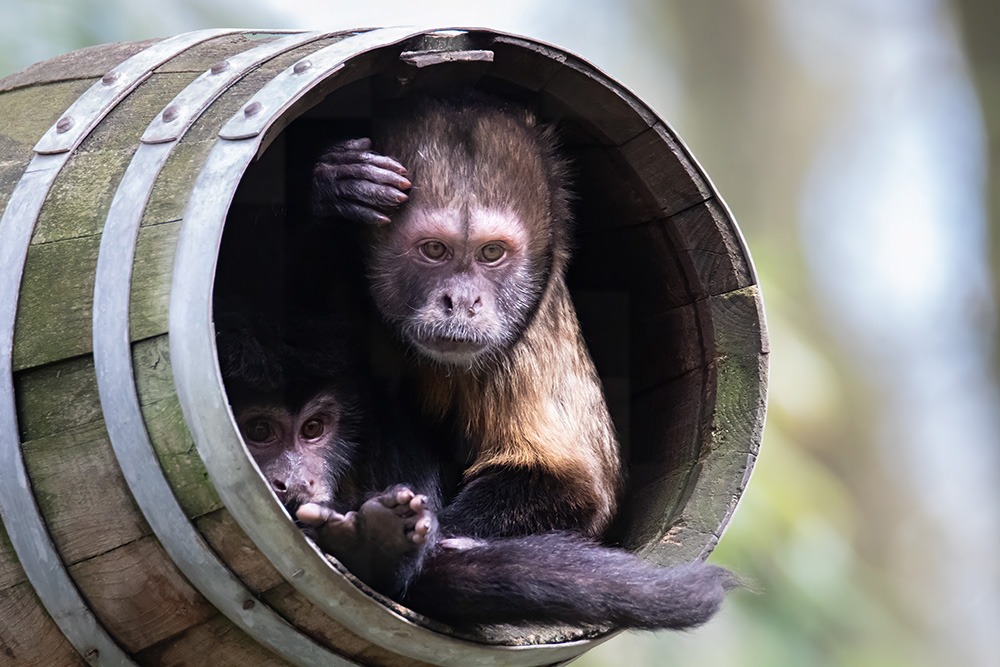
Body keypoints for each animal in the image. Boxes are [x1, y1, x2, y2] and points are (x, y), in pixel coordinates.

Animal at [308, 92, 740, 632]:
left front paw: (412, 538)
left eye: (492, 253)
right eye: (434, 250)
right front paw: (333, 188)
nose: (462, 301)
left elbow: (578, 486)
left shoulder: (528, 333)